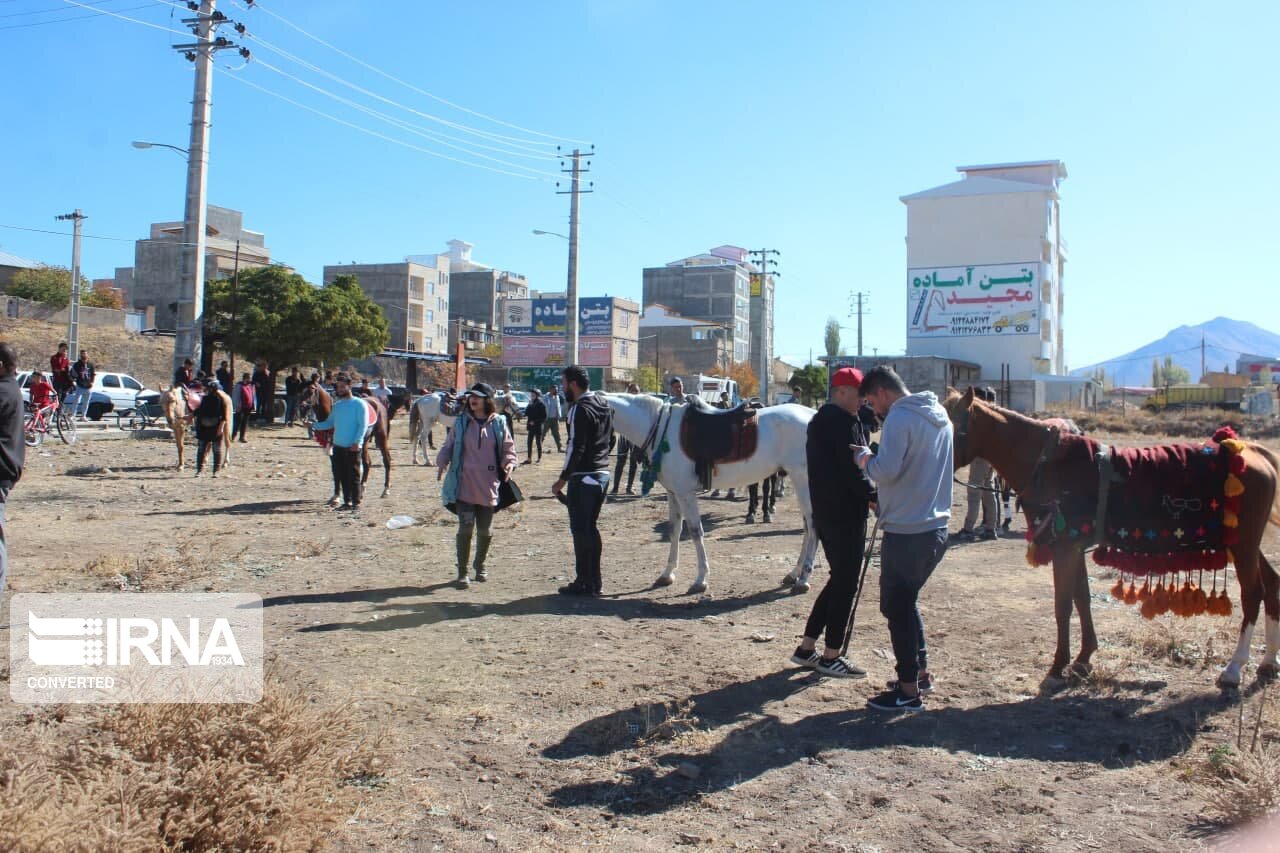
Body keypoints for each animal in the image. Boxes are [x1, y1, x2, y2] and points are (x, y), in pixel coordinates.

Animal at [601, 391, 819, 591]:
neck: (661, 428)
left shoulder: (686, 493)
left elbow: (695, 531)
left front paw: (700, 579)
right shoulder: (673, 493)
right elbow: (674, 530)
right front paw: (667, 574)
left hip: (803, 481)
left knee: (812, 526)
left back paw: (803, 579)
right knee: (807, 527)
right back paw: (794, 573)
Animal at [936, 384, 1274, 686]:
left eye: (947, 427)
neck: (1049, 464)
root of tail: (1252, 452)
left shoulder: (1065, 548)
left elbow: (1063, 605)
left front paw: (1058, 666)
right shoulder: (1073, 548)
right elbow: (1082, 599)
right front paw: (1083, 658)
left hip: (1243, 546)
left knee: (1253, 594)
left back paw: (1234, 669)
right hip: (1247, 545)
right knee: (1272, 586)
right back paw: (1268, 662)